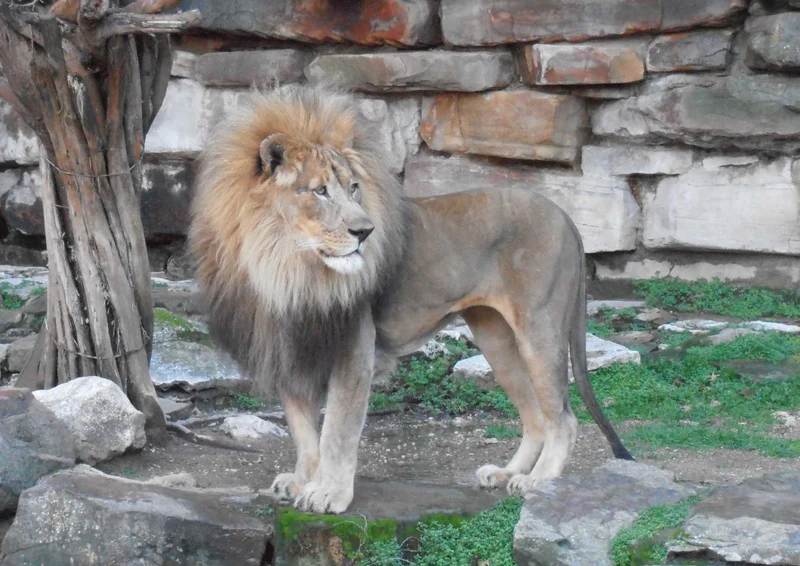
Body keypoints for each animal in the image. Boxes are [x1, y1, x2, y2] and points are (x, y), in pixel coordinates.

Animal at [188, 84, 632, 515]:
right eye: (319, 191)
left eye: (353, 188)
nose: (365, 231)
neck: (285, 265)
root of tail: (565, 216)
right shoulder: (289, 346)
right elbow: (303, 430)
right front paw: (302, 481)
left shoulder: (353, 347)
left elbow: (337, 430)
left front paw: (329, 493)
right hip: (496, 337)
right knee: (537, 415)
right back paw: (507, 473)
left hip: (539, 329)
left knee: (564, 419)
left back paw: (537, 481)